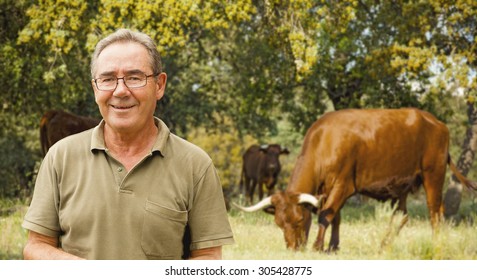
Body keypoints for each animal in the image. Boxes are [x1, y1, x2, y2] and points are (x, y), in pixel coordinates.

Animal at [235, 109, 476, 252]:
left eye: (298, 219)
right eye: (279, 223)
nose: (294, 249)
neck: (324, 141)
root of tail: (436, 122)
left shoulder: (343, 185)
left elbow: (325, 216)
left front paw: (318, 246)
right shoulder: (329, 189)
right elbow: (336, 217)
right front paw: (332, 247)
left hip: (433, 175)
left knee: (435, 212)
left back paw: (436, 244)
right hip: (404, 185)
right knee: (402, 215)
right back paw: (383, 246)